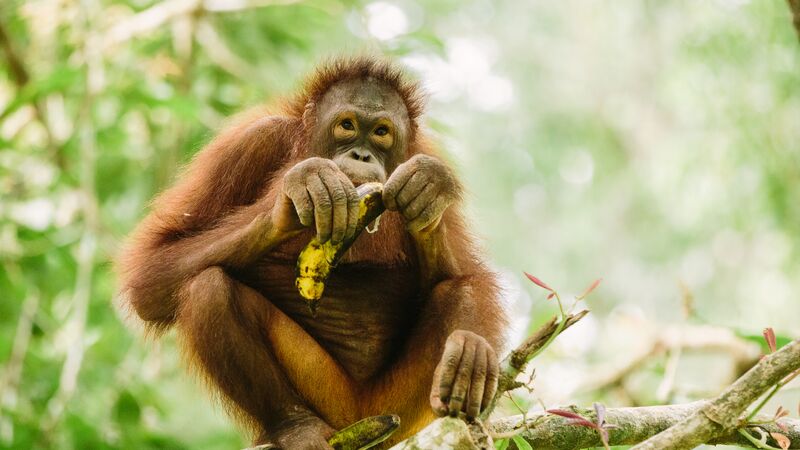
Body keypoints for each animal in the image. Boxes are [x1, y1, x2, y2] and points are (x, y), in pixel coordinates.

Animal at [116, 56, 507, 449]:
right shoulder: (250, 141)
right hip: (326, 392)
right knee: (208, 289)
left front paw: (427, 191)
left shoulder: (430, 158)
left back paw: (465, 366)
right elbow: (151, 274)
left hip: (404, 408)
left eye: (381, 132)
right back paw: (296, 426)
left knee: (457, 291)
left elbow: (462, 274)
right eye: (347, 125)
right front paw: (299, 190)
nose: (361, 154)